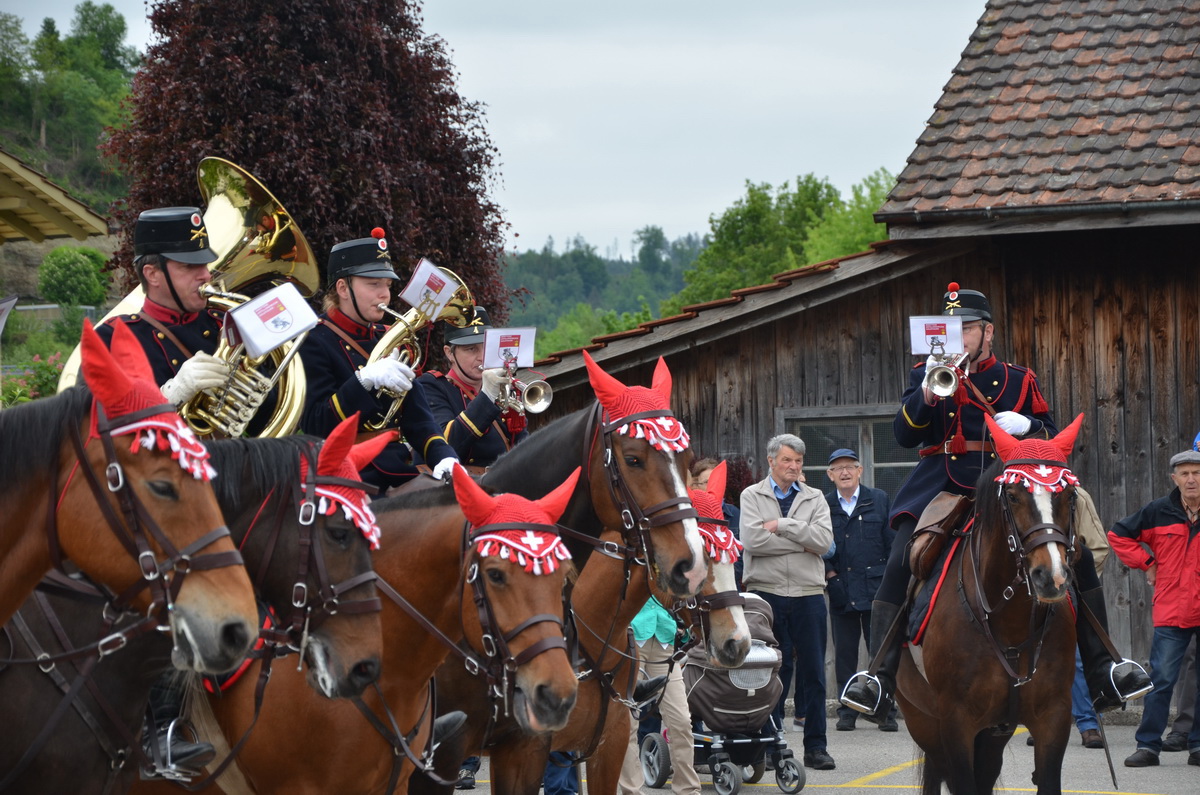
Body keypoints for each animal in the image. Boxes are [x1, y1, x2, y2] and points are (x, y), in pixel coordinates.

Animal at [896, 414, 1085, 795]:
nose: (1052, 577)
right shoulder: (955, 723)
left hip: (993, 734)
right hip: (922, 720)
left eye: (1069, 493)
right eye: (1012, 495)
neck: (1010, 620)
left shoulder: (1054, 717)